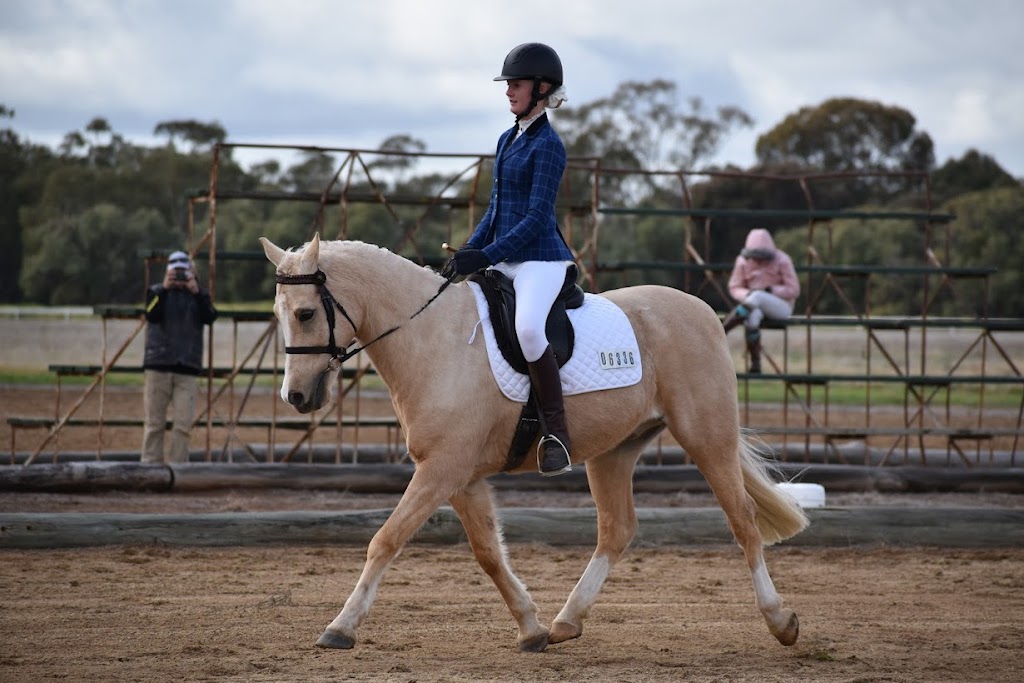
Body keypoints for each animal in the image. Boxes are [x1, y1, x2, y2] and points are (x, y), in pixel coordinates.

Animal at [260, 236, 802, 655]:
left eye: (305, 313)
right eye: (280, 315)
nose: (296, 397)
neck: (432, 338)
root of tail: (704, 310)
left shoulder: (441, 470)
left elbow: (385, 540)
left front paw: (339, 628)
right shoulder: (459, 476)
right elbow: (488, 553)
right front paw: (531, 628)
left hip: (706, 437)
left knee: (743, 521)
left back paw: (781, 621)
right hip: (615, 450)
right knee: (617, 530)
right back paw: (565, 622)